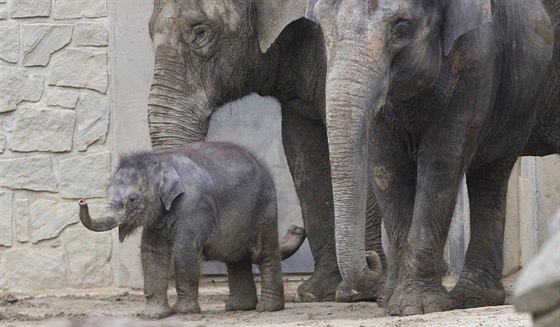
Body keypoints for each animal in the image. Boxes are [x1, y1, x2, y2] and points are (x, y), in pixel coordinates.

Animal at [77, 142, 306, 320]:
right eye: (108, 191)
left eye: (132, 199)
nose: (82, 201)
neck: (162, 160)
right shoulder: (158, 216)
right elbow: (152, 252)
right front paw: (153, 315)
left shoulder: (194, 206)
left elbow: (184, 250)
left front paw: (183, 312)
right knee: (236, 257)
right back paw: (239, 308)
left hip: (265, 207)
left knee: (263, 253)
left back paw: (266, 308)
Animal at [144, 0, 384, 302]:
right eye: (148, 32)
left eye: (200, 32)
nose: (294, 228)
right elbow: (304, 151)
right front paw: (316, 292)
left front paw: (360, 292)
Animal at [288, 0, 556, 318]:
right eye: (324, 29)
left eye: (402, 27)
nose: (370, 258)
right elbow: (385, 169)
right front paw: (397, 304)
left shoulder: (474, 62)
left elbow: (442, 163)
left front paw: (416, 306)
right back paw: (393, 296)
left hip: (519, 103)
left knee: (490, 175)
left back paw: (472, 298)